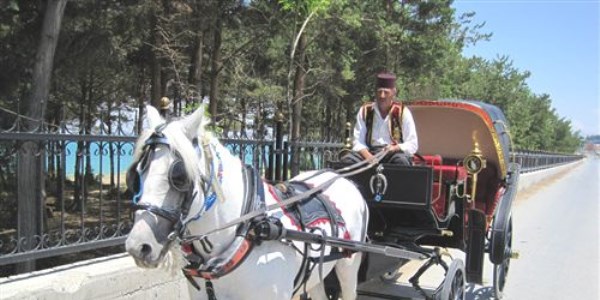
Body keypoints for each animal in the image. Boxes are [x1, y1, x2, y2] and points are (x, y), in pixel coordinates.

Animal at [126, 106, 368, 300]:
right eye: (137, 173)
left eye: (179, 177)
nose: (138, 246)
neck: (250, 229)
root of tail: (341, 177)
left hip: (348, 265)